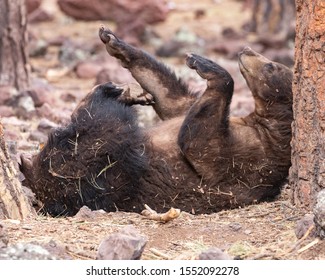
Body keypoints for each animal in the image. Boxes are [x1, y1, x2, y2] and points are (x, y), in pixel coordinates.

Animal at [19, 27, 294, 217]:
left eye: (271, 66)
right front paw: (117, 43)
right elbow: (174, 101)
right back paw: (125, 92)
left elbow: (200, 146)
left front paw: (207, 65)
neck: (263, 120)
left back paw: (107, 94)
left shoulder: (253, 154)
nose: (247, 50)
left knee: (102, 132)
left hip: (94, 175)